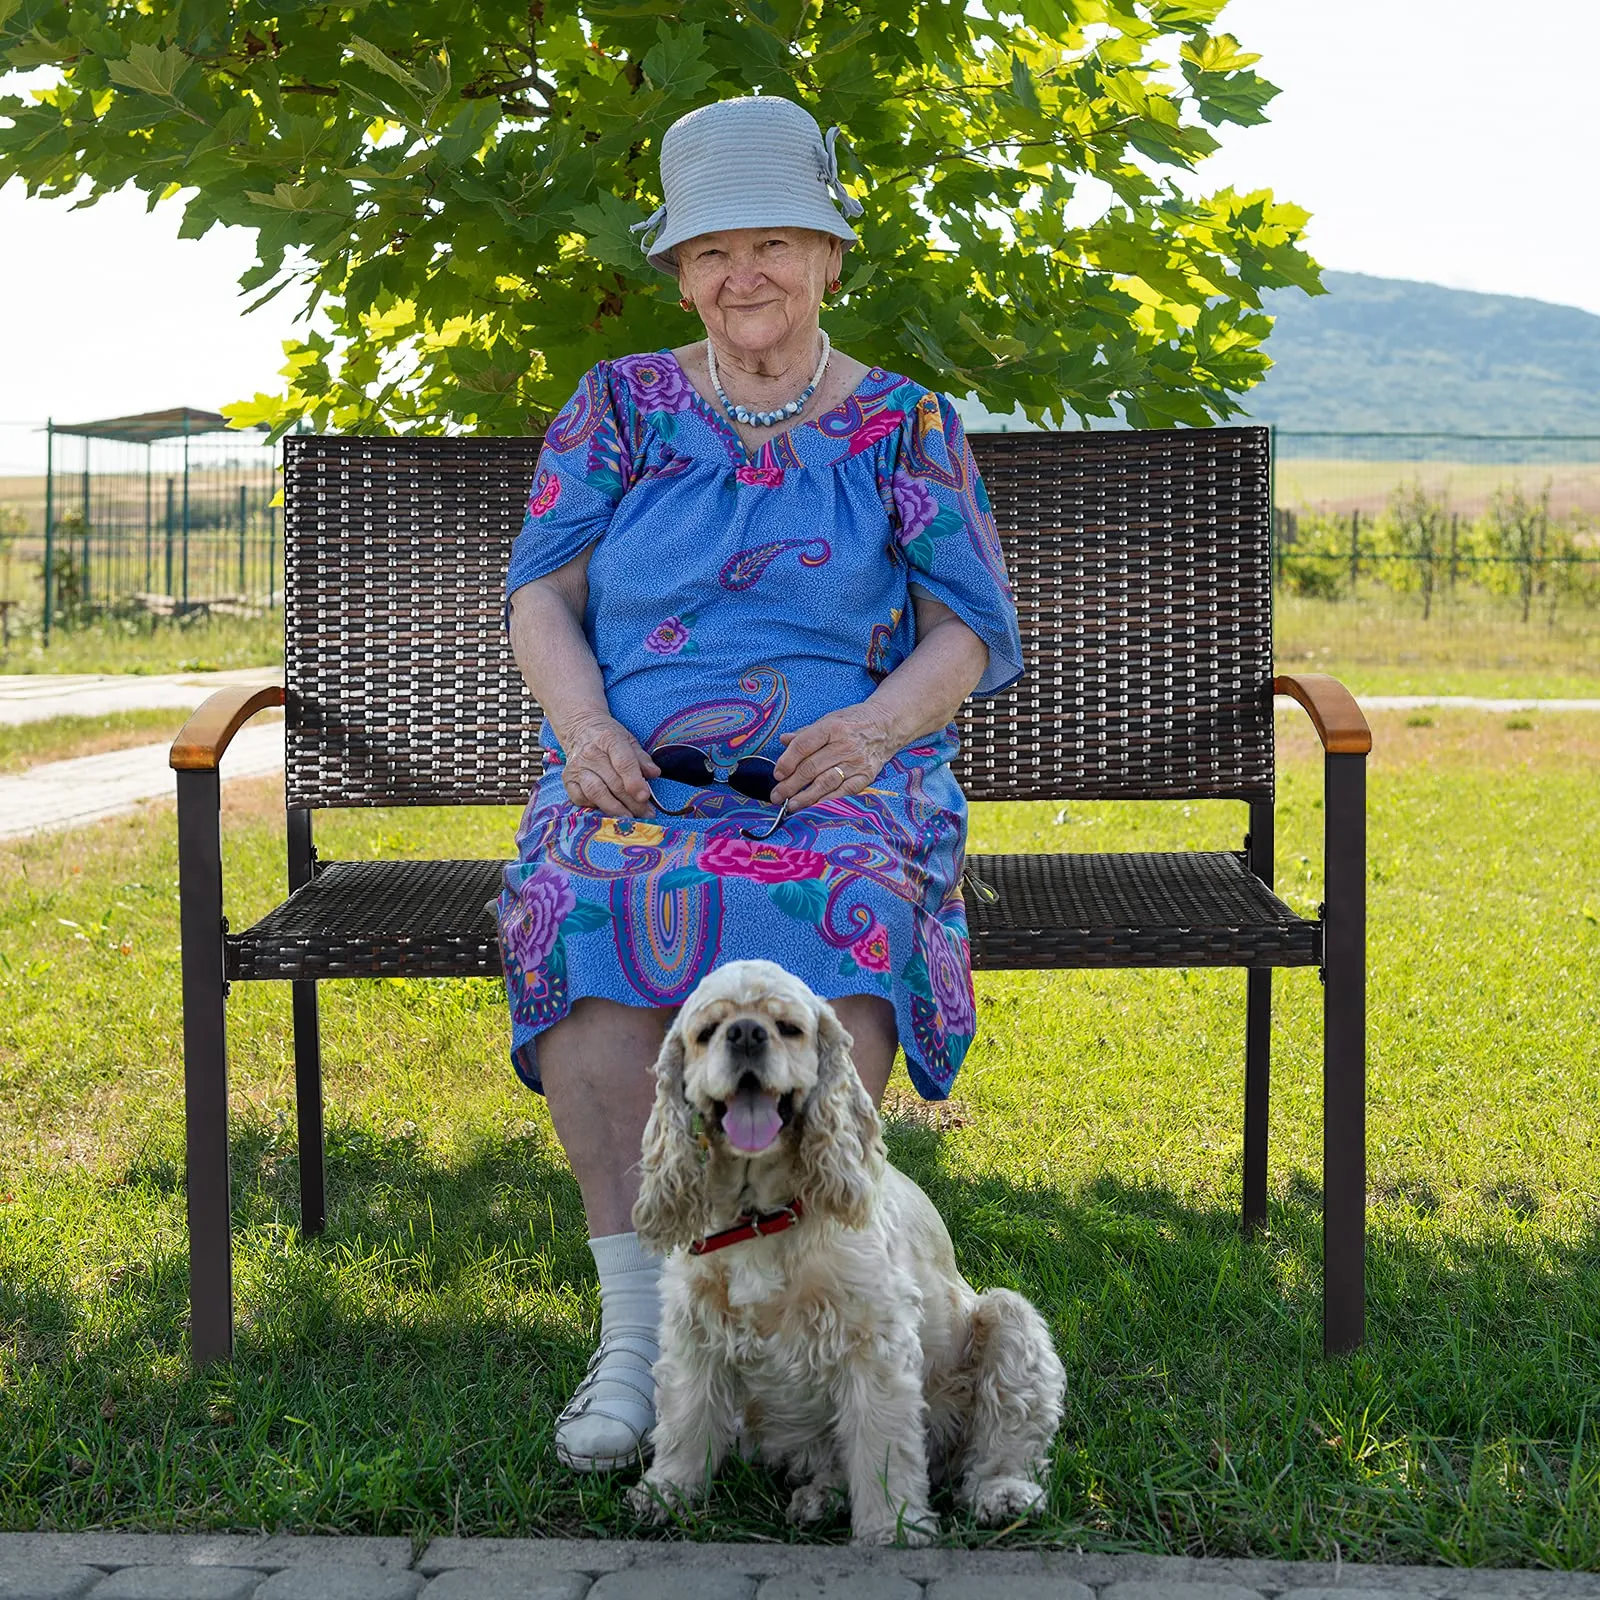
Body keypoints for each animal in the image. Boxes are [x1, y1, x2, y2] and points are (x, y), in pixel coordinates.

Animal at [624, 953, 1062, 1542]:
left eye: (789, 1027)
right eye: (707, 1031)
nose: (746, 1033)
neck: (763, 1219)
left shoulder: (872, 1342)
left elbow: (880, 1447)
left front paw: (892, 1529)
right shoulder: (696, 1332)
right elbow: (686, 1420)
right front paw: (666, 1493)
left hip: (1009, 1321)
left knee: (1004, 1442)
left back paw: (1002, 1493)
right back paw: (818, 1499)